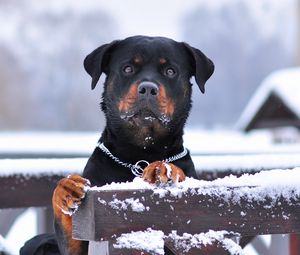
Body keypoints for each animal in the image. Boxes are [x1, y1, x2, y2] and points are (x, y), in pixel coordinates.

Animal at [52, 34, 214, 254]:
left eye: (170, 71)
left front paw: (164, 169)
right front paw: (66, 188)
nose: (148, 88)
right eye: (128, 68)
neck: (140, 153)